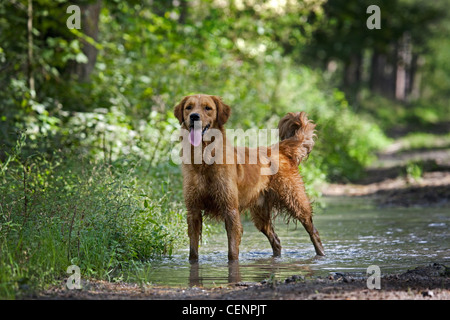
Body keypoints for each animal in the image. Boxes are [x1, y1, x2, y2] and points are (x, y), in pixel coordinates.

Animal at [174, 94, 326, 260]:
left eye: (208, 108)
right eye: (189, 107)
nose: (194, 116)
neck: (203, 160)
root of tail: (279, 149)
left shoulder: (230, 209)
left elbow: (232, 251)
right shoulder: (193, 210)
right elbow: (193, 251)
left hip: (295, 201)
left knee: (313, 231)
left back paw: (321, 254)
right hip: (260, 214)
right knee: (276, 240)